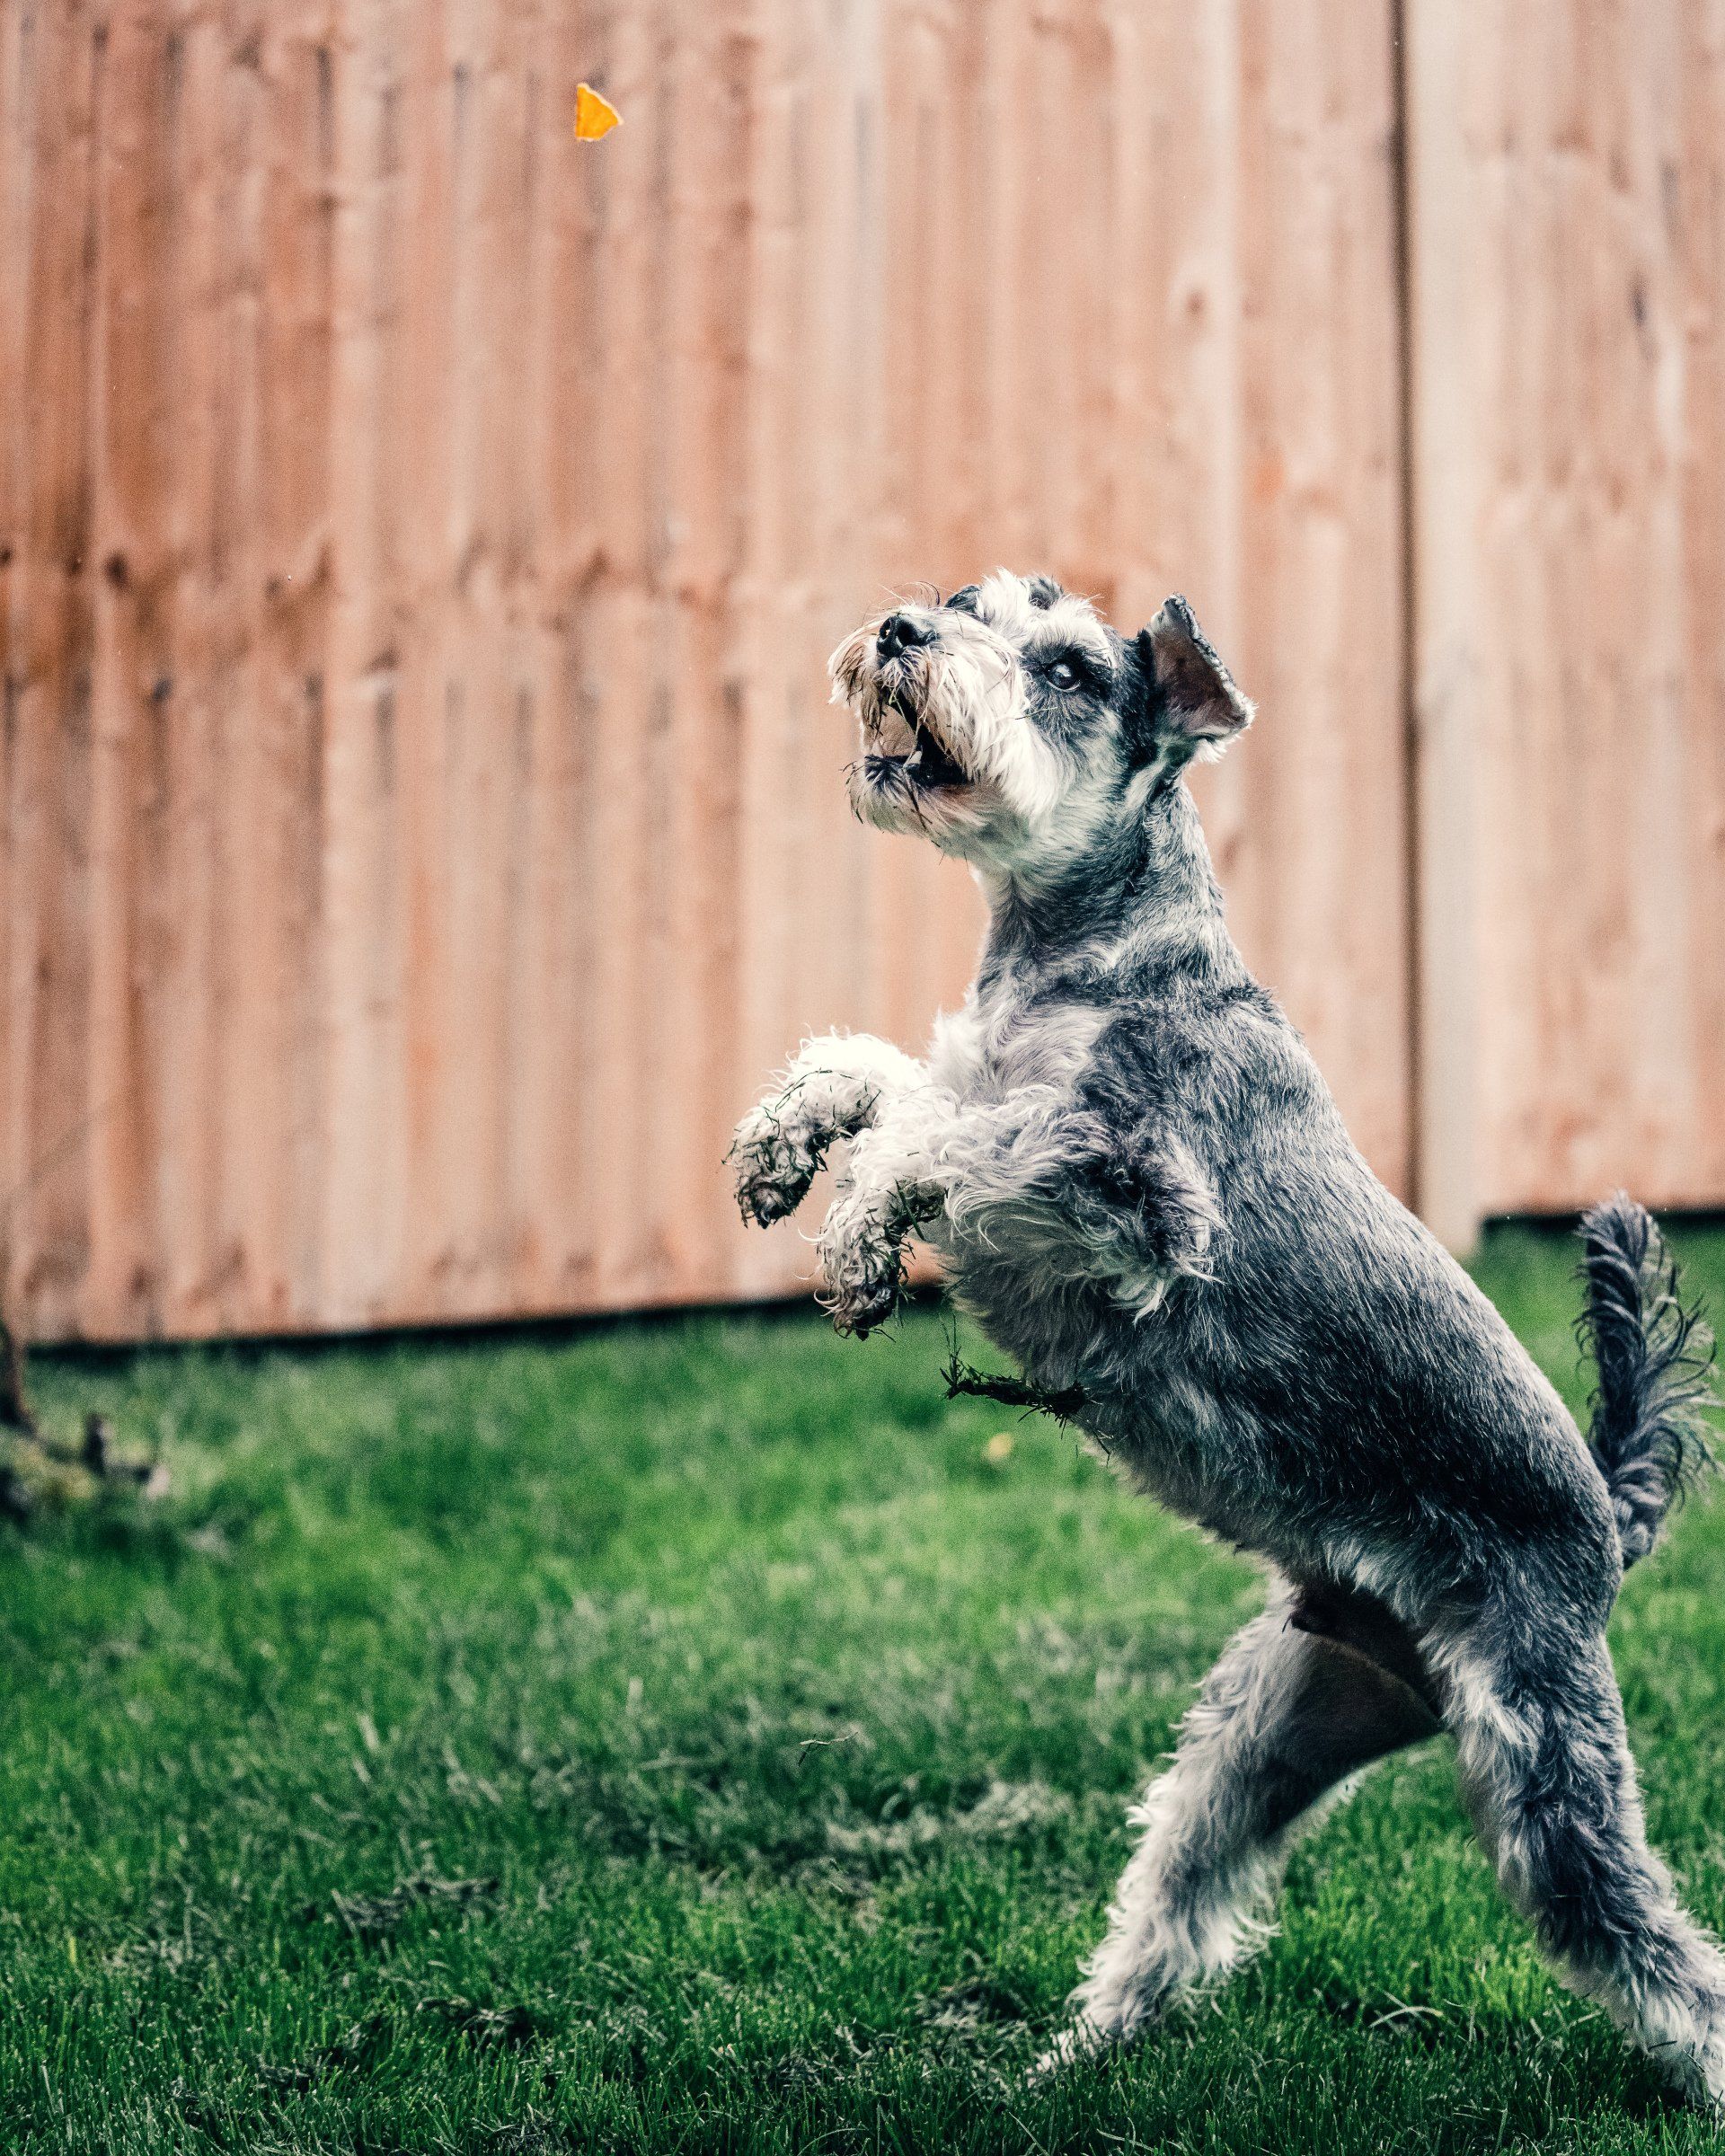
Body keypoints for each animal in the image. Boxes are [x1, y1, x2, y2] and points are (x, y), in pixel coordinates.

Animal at [733, 573, 1725, 2104]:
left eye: (1068, 667)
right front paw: (787, 1142)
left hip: (1548, 1774)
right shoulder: (1001, 1089)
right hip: (1274, 1728)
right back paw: (1074, 2059)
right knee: (1182, 1899)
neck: (1089, 951)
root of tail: (1605, 1525)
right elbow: (894, 1074)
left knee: (1660, 1953)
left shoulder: (1137, 1191)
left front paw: (854, 1229)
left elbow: (956, 1136)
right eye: (970, 601)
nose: (902, 630)